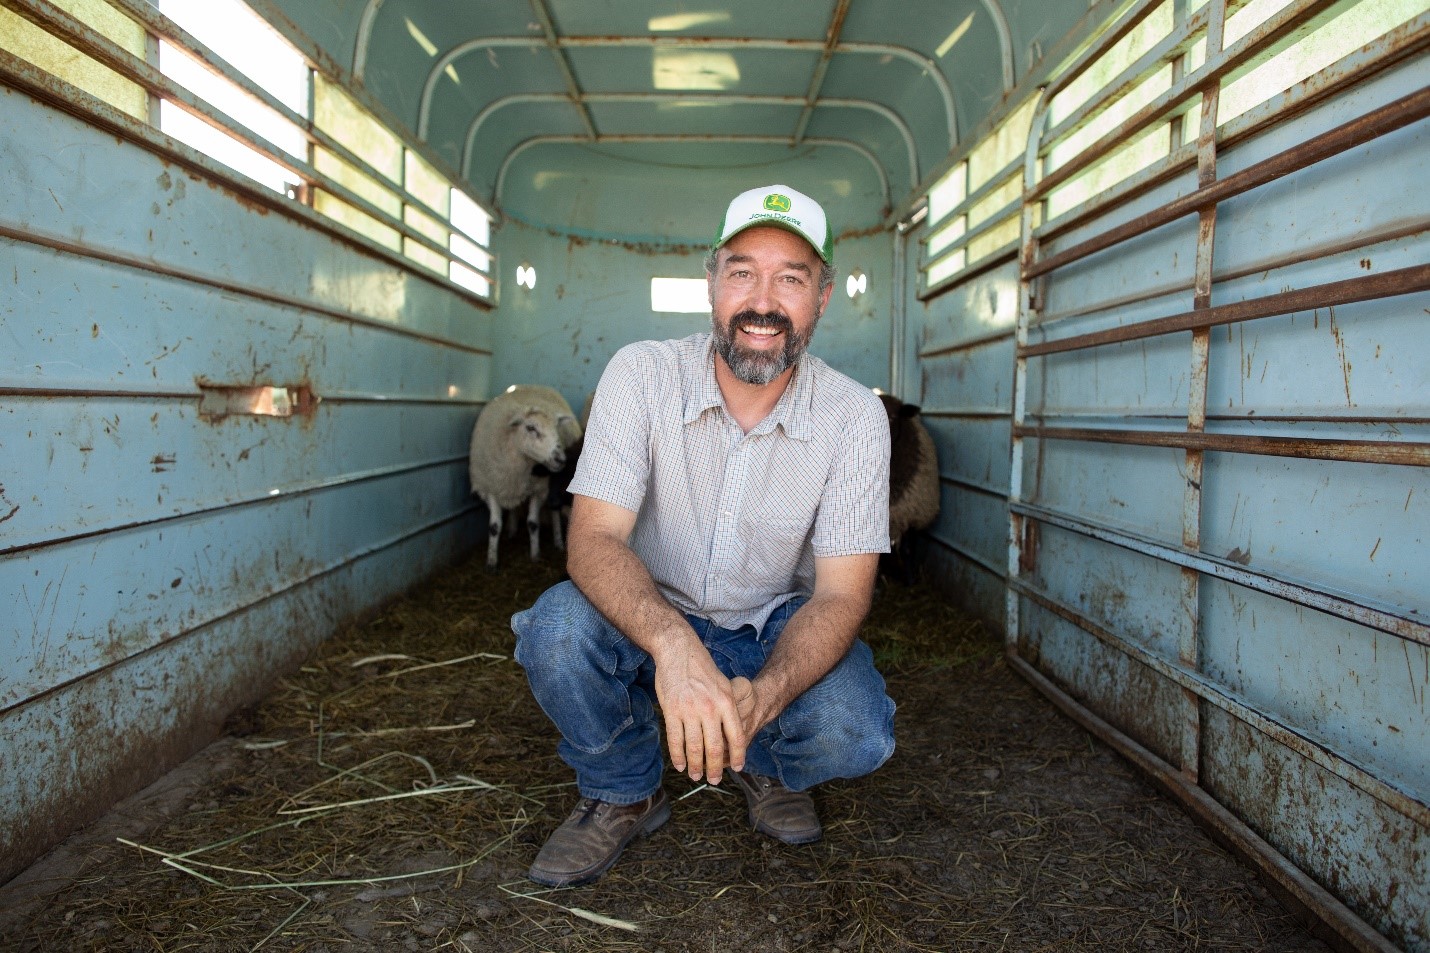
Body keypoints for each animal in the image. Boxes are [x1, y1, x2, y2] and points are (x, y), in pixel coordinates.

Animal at [469, 383, 580, 566]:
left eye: (556, 427)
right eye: (530, 427)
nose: (560, 459)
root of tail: (533, 385)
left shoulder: (539, 489)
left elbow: (533, 523)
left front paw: (535, 555)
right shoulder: (490, 487)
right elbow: (494, 527)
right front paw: (491, 560)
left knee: (554, 510)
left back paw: (558, 541)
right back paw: (512, 531)